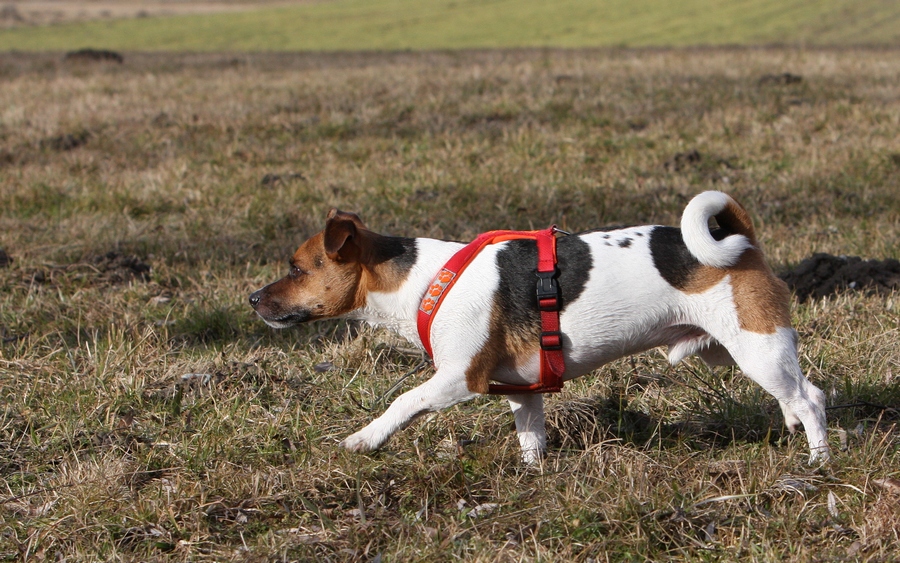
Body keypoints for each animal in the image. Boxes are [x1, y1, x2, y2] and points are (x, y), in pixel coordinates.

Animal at [251, 192, 828, 464]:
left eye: (297, 269)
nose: (253, 299)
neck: (423, 280)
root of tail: (741, 239)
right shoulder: (523, 389)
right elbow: (531, 439)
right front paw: (533, 476)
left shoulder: (459, 379)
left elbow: (402, 403)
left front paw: (364, 439)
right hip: (731, 348)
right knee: (799, 394)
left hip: (755, 347)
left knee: (810, 399)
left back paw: (819, 459)